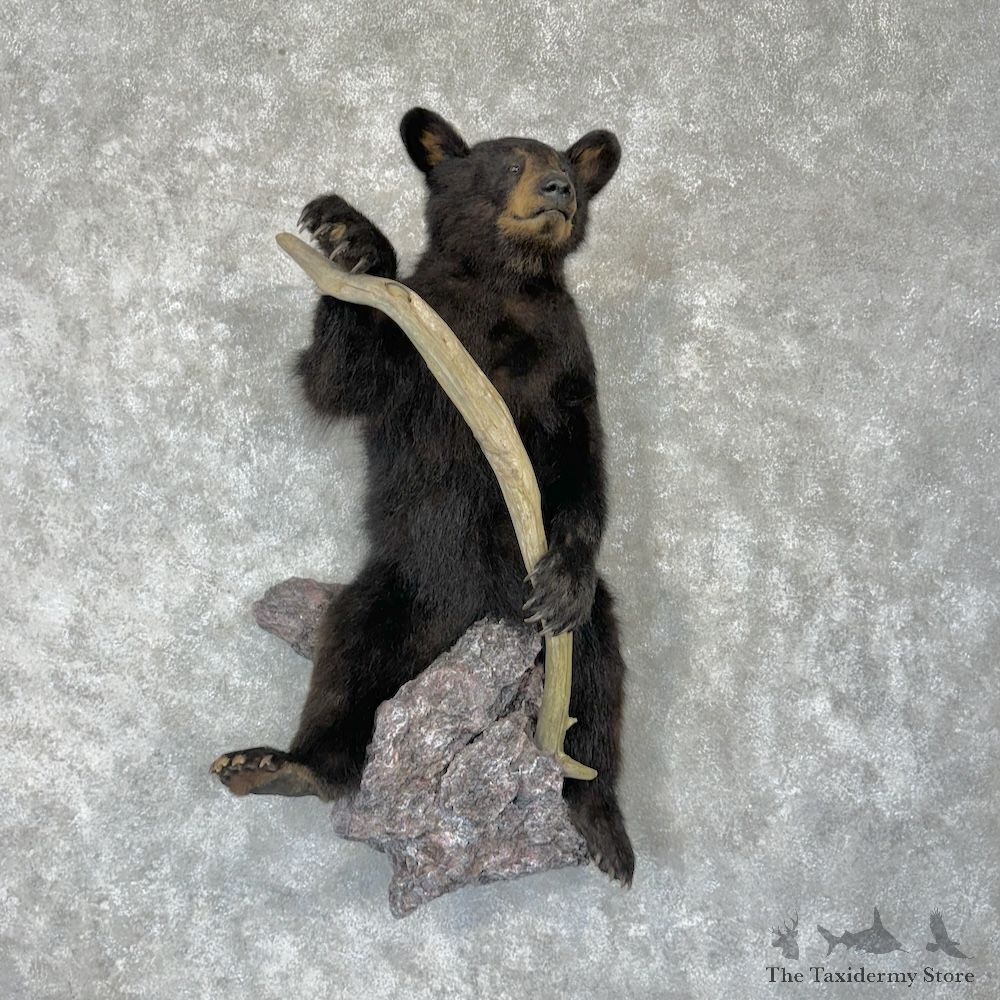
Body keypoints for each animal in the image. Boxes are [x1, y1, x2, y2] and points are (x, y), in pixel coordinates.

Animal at [211, 108, 634, 885]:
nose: (560, 188)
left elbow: (581, 464)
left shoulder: (565, 355)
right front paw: (348, 234)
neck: (501, 285)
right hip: (396, 587)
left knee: (596, 687)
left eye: (565, 162)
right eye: (509, 162)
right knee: (350, 653)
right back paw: (278, 765)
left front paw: (563, 578)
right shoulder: (416, 344)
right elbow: (339, 376)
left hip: (573, 640)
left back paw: (602, 828)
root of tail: (467, 623)